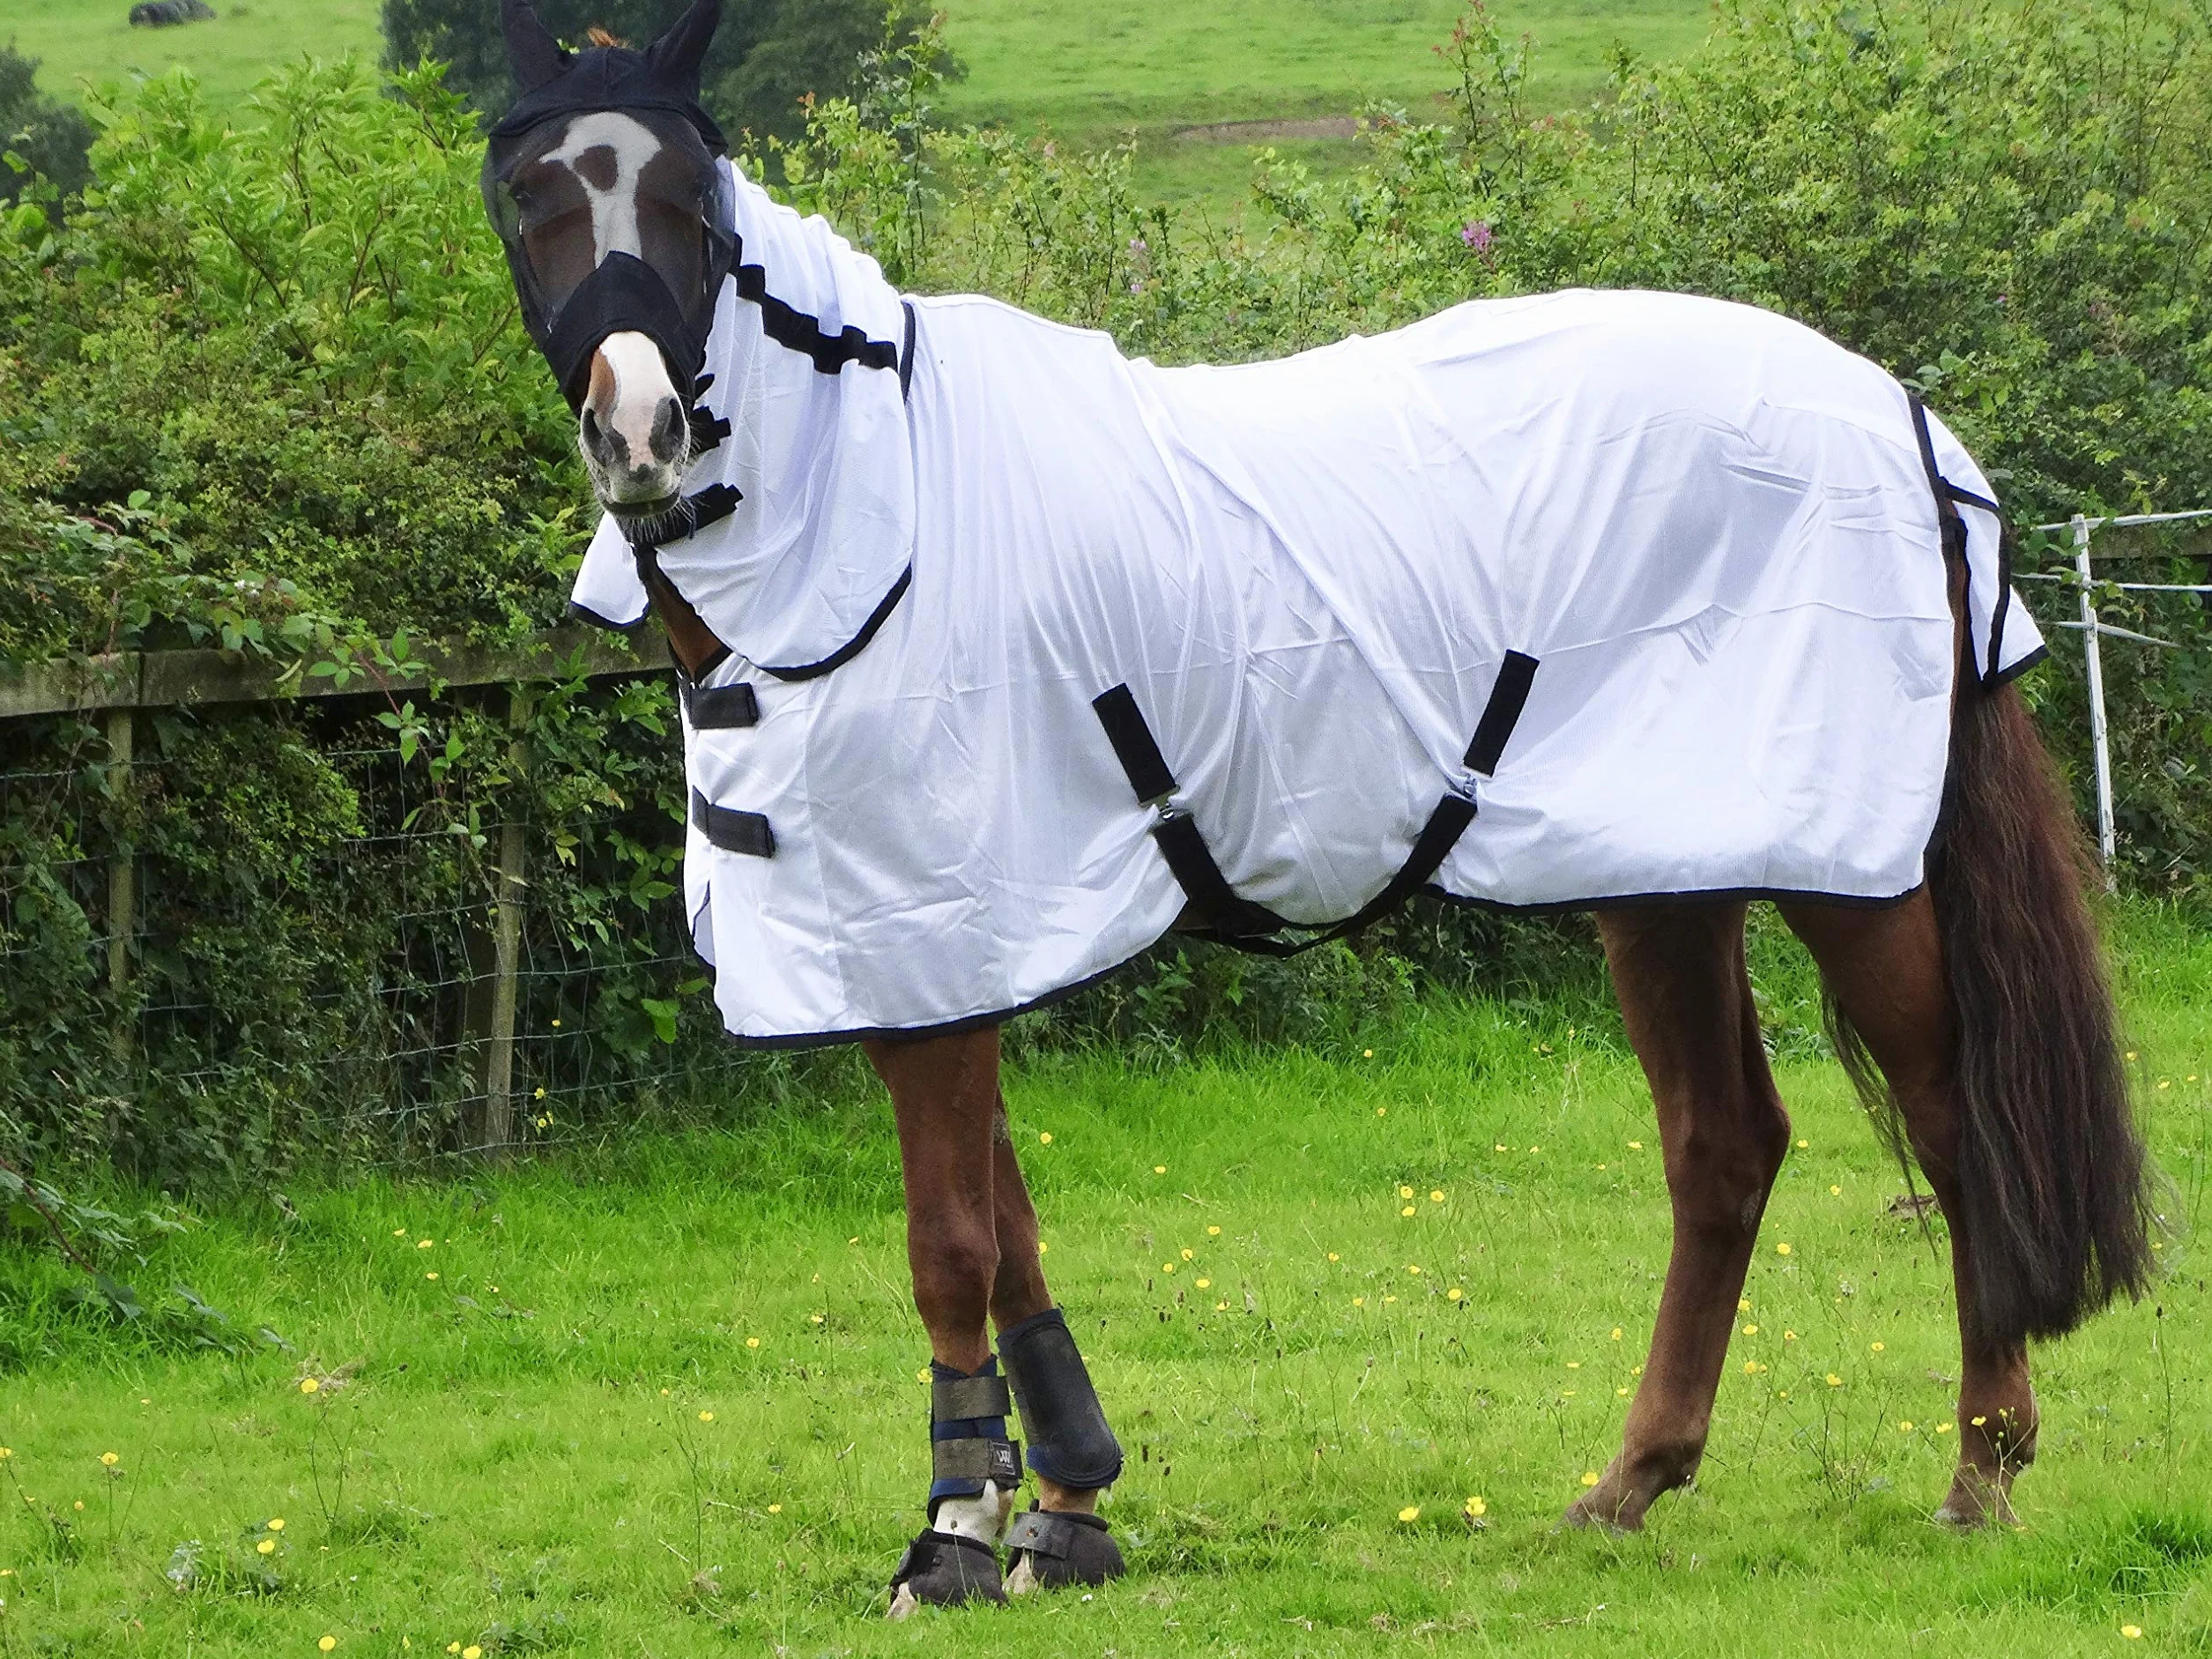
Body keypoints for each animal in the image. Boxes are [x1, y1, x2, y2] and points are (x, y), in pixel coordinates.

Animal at [481, 0, 2154, 1614]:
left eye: (692, 197)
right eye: (527, 195)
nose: (638, 433)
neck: (887, 511)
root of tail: (1890, 411)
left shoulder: (932, 935)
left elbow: (949, 1241)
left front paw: (957, 1534)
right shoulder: (933, 950)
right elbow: (1007, 1223)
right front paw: (1066, 1505)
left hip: (1844, 871)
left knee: (1949, 1114)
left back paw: (1981, 1468)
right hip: (1662, 874)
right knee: (1723, 1147)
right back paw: (1630, 1481)